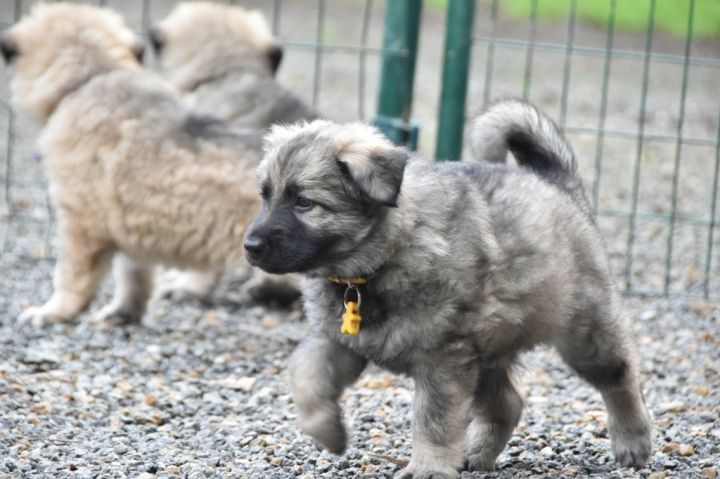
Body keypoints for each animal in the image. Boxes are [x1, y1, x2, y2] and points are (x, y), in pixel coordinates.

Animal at [2, 3, 273, 326]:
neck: (91, 75)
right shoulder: (129, 220)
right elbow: (134, 276)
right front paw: (122, 314)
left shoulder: (80, 223)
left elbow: (71, 277)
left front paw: (52, 312)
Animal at [244, 101, 653, 478]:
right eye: (265, 196)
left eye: (304, 202)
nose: (250, 246)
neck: (378, 259)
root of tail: (555, 181)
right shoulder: (339, 340)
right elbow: (305, 374)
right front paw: (328, 433)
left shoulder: (443, 357)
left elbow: (434, 421)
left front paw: (428, 468)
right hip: (487, 346)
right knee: (508, 402)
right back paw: (478, 454)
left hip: (583, 332)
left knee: (621, 378)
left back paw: (633, 442)